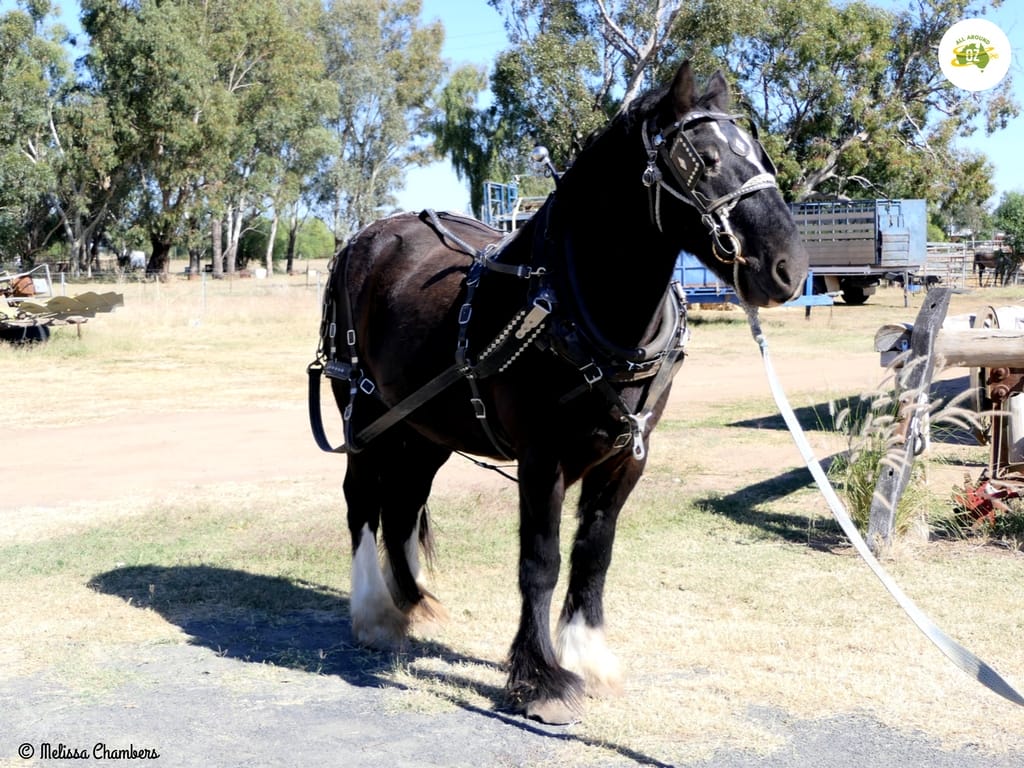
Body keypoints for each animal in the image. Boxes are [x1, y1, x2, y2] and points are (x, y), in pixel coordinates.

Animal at [310, 60, 809, 724]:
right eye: (701, 160)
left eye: (758, 153)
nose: (788, 268)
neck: (571, 307)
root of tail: (366, 238)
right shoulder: (541, 457)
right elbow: (540, 561)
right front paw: (540, 678)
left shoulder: (626, 457)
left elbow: (593, 554)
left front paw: (587, 658)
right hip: (364, 411)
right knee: (363, 498)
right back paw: (373, 613)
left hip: (426, 426)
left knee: (405, 502)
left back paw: (412, 600)